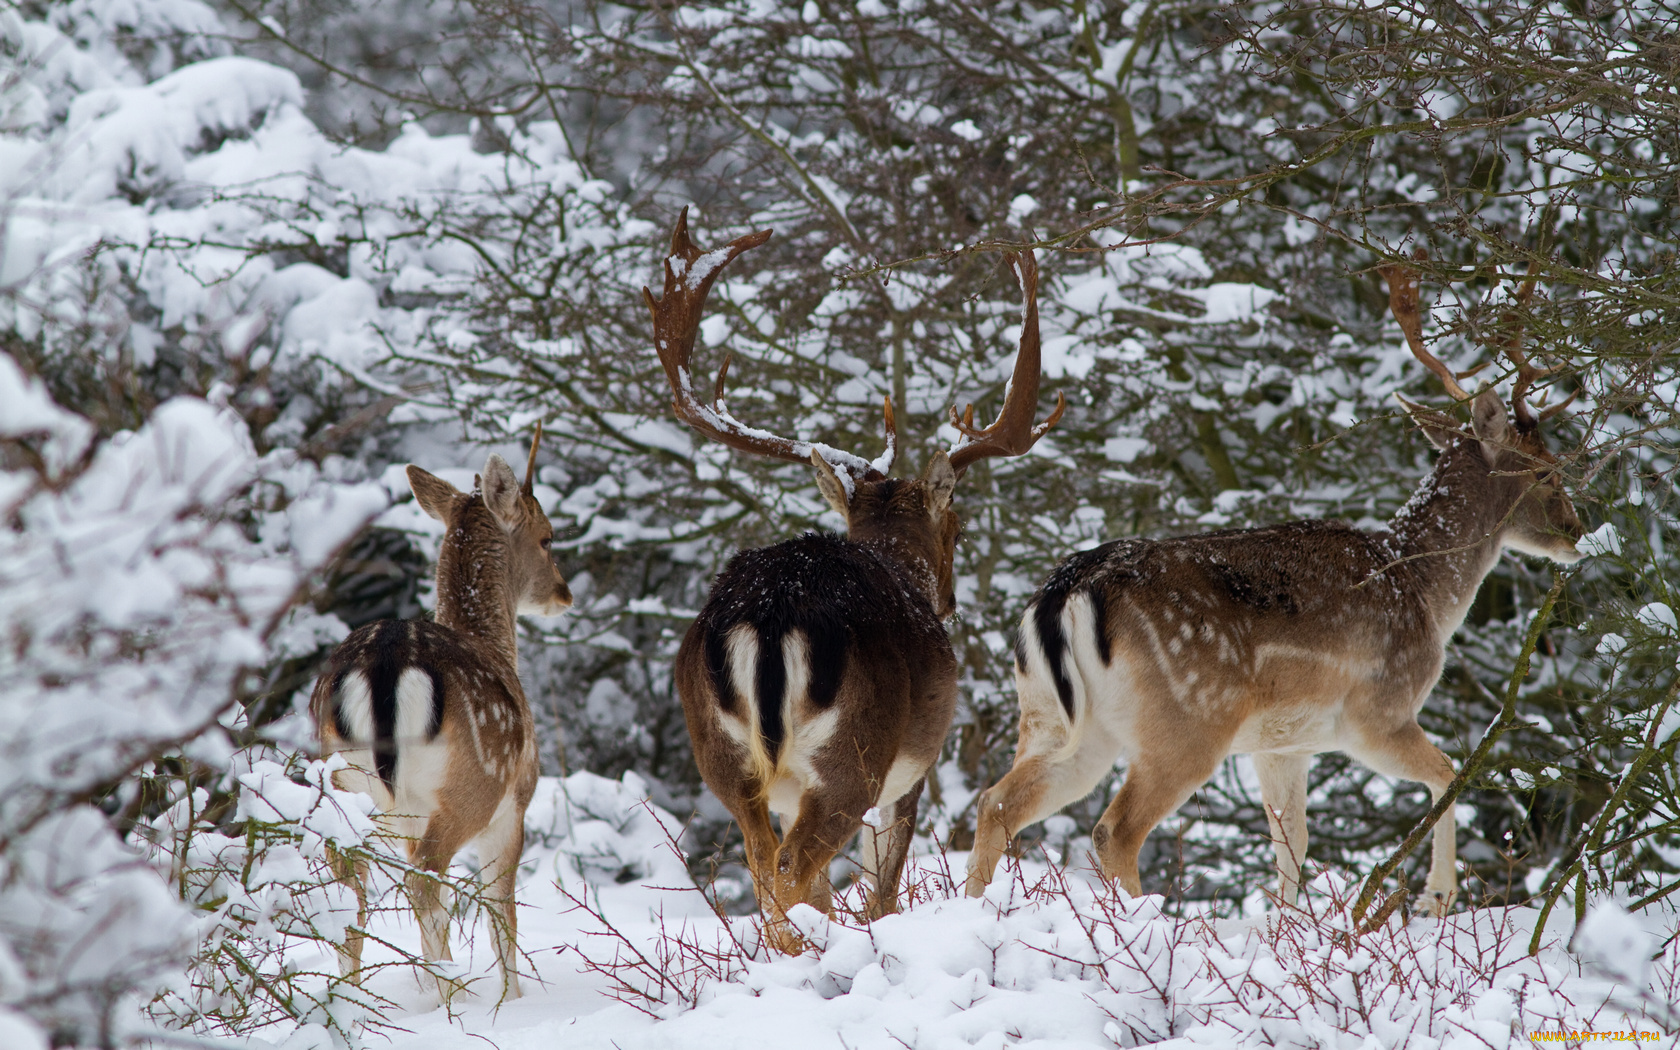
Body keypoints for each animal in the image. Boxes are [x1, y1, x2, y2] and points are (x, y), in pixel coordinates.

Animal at [312, 426, 574, 1001]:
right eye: (547, 537)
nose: (564, 594)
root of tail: (385, 664)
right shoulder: (514, 804)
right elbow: (502, 915)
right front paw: (514, 1000)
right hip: (471, 785)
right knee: (427, 880)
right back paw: (451, 992)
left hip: (345, 781)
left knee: (352, 874)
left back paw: (351, 998)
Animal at [645, 209, 1061, 947]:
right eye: (957, 527)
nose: (949, 598)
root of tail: (769, 617)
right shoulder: (912, 771)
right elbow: (884, 887)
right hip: (855, 755)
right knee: (790, 868)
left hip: (724, 759)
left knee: (764, 863)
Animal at [967, 250, 1579, 913]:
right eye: (1547, 471)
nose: (1577, 529)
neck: (1423, 590)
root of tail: (1065, 595)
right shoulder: (1377, 710)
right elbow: (1448, 774)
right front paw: (1435, 899)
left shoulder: (1282, 744)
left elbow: (1292, 841)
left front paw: (1291, 924)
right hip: (1188, 721)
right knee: (1114, 829)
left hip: (1055, 719)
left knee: (996, 802)